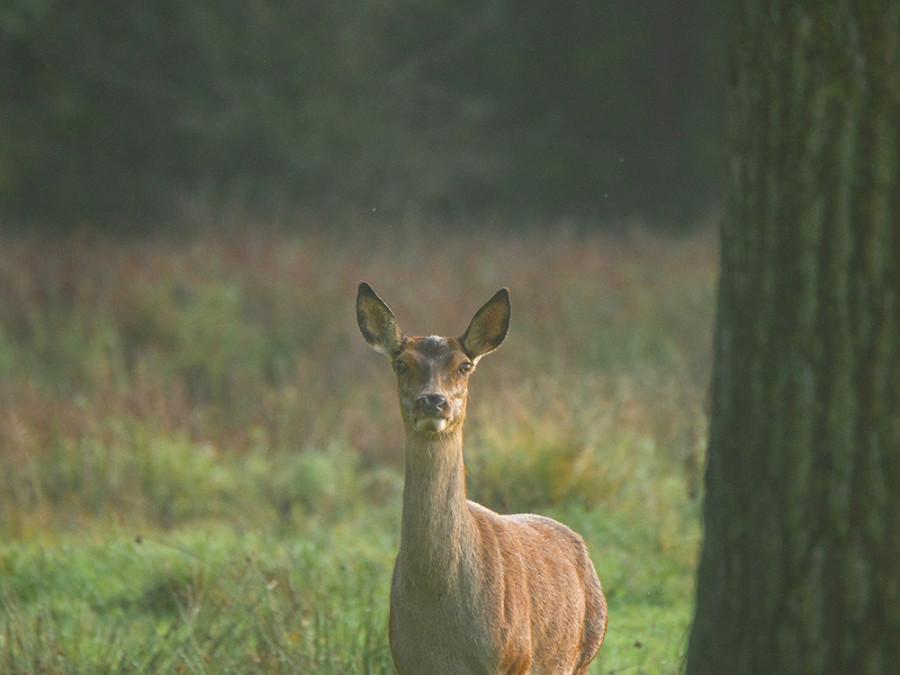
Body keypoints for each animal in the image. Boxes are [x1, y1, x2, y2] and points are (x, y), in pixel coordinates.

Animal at [356, 282, 608, 672]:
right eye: (400, 364)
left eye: (464, 366)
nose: (432, 400)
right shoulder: (404, 658)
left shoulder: (513, 658)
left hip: (583, 652)